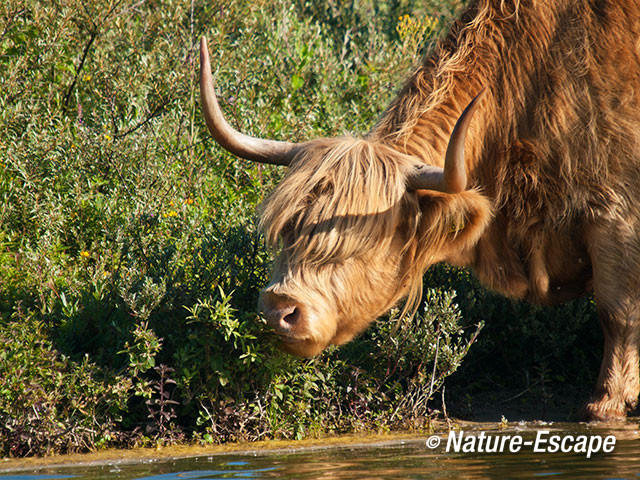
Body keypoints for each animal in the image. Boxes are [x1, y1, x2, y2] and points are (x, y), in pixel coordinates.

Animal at [199, 0, 640, 420]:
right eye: (286, 231)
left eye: (357, 240)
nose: (278, 310)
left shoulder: (616, 214)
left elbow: (616, 311)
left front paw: (606, 403)